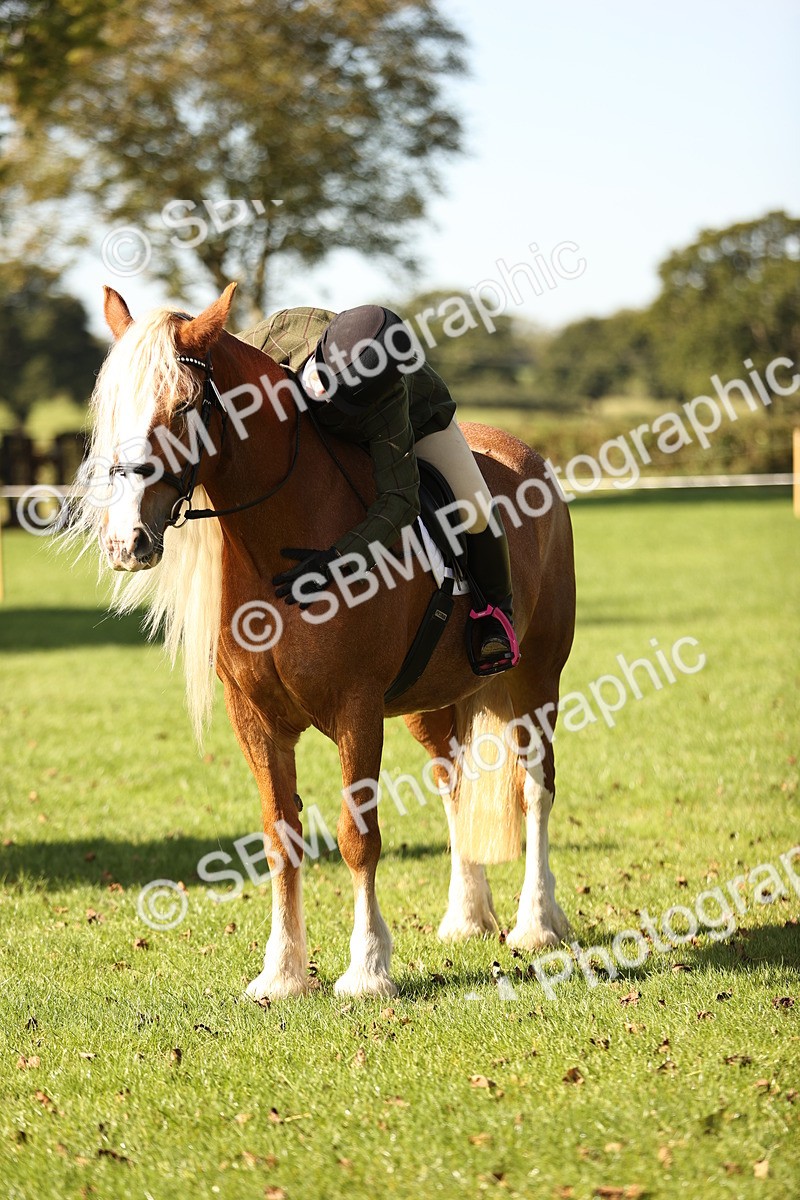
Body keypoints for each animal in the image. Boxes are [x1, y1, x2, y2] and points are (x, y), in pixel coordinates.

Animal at [69, 282, 576, 999]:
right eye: (111, 409)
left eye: (185, 407)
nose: (124, 543)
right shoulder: (255, 718)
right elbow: (280, 835)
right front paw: (282, 973)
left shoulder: (356, 709)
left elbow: (358, 836)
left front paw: (366, 970)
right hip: (428, 703)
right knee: (452, 783)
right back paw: (467, 916)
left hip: (536, 680)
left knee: (536, 787)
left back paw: (538, 922)